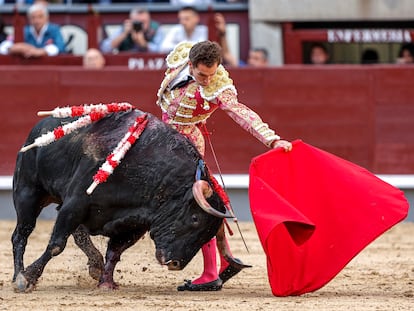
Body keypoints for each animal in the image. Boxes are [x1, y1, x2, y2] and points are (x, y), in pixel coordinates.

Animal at [12, 109, 233, 292]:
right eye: (195, 219)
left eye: (208, 235)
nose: (176, 263)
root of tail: (40, 126)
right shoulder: (75, 204)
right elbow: (57, 245)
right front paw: (28, 278)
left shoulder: (134, 224)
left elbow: (114, 253)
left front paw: (106, 283)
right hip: (28, 194)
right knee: (20, 235)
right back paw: (17, 277)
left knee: (78, 234)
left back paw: (95, 264)